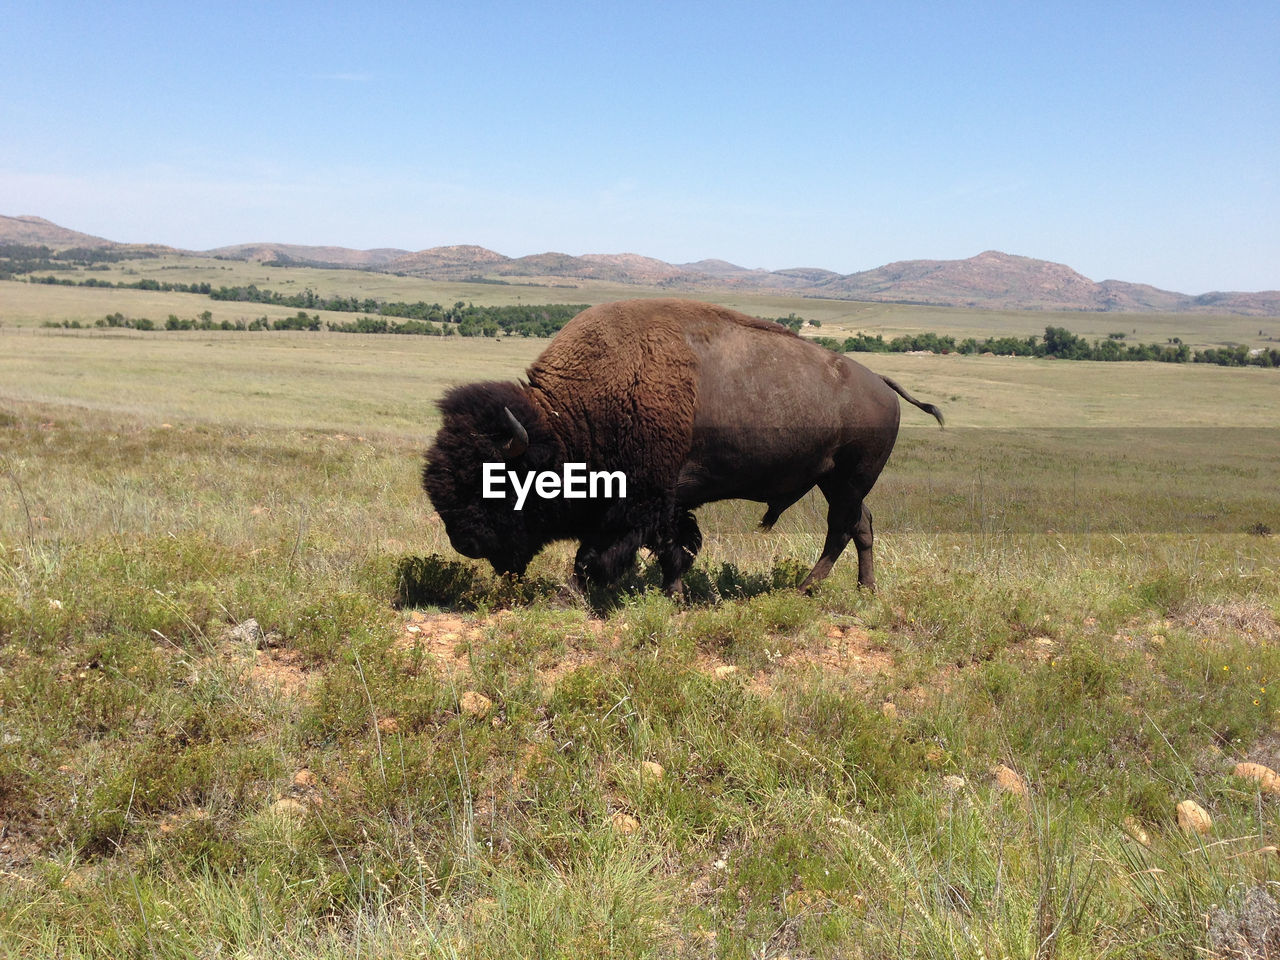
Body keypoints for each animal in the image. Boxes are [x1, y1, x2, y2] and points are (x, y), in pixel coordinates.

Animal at [422, 300, 942, 599]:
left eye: (495, 484)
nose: (464, 542)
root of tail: (882, 384)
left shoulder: (643, 501)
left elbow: (610, 553)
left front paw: (579, 592)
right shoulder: (669, 502)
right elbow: (674, 545)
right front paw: (670, 593)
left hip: (847, 481)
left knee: (843, 528)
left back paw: (811, 589)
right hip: (836, 482)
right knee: (860, 525)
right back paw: (859, 589)